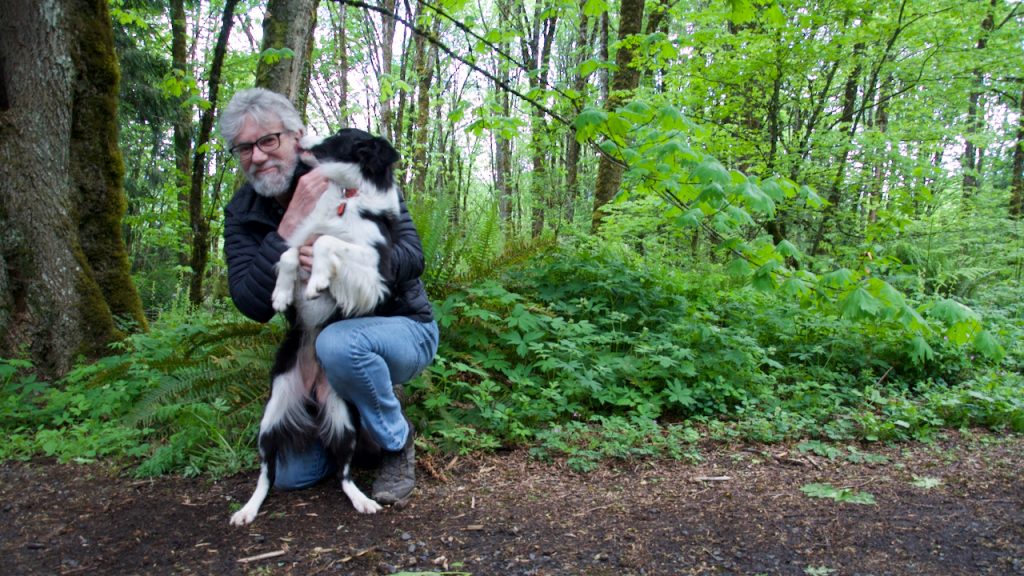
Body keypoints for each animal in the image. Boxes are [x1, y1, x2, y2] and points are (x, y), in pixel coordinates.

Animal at [230, 127, 401, 522]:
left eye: (341, 135)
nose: (300, 136)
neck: (347, 197)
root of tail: (309, 389)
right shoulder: (301, 237)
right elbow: (291, 252)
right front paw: (281, 294)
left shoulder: (376, 272)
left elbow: (326, 242)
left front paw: (319, 281)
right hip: (269, 419)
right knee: (266, 475)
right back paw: (247, 509)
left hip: (344, 418)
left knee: (344, 473)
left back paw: (363, 500)